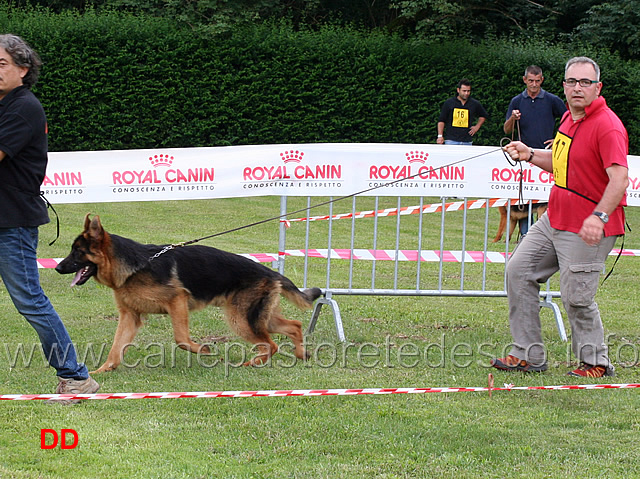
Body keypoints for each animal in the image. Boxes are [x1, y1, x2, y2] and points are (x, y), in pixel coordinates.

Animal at [57, 215, 322, 376]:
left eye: (77, 252)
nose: (58, 267)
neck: (136, 266)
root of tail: (271, 271)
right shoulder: (130, 316)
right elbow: (116, 347)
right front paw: (101, 371)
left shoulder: (177, 302)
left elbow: (181, 339)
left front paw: (203, 350)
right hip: (258, 317)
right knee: (294, 326)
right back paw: (302, 355)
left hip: (241, 320)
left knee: (271, 344)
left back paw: (253, 363)